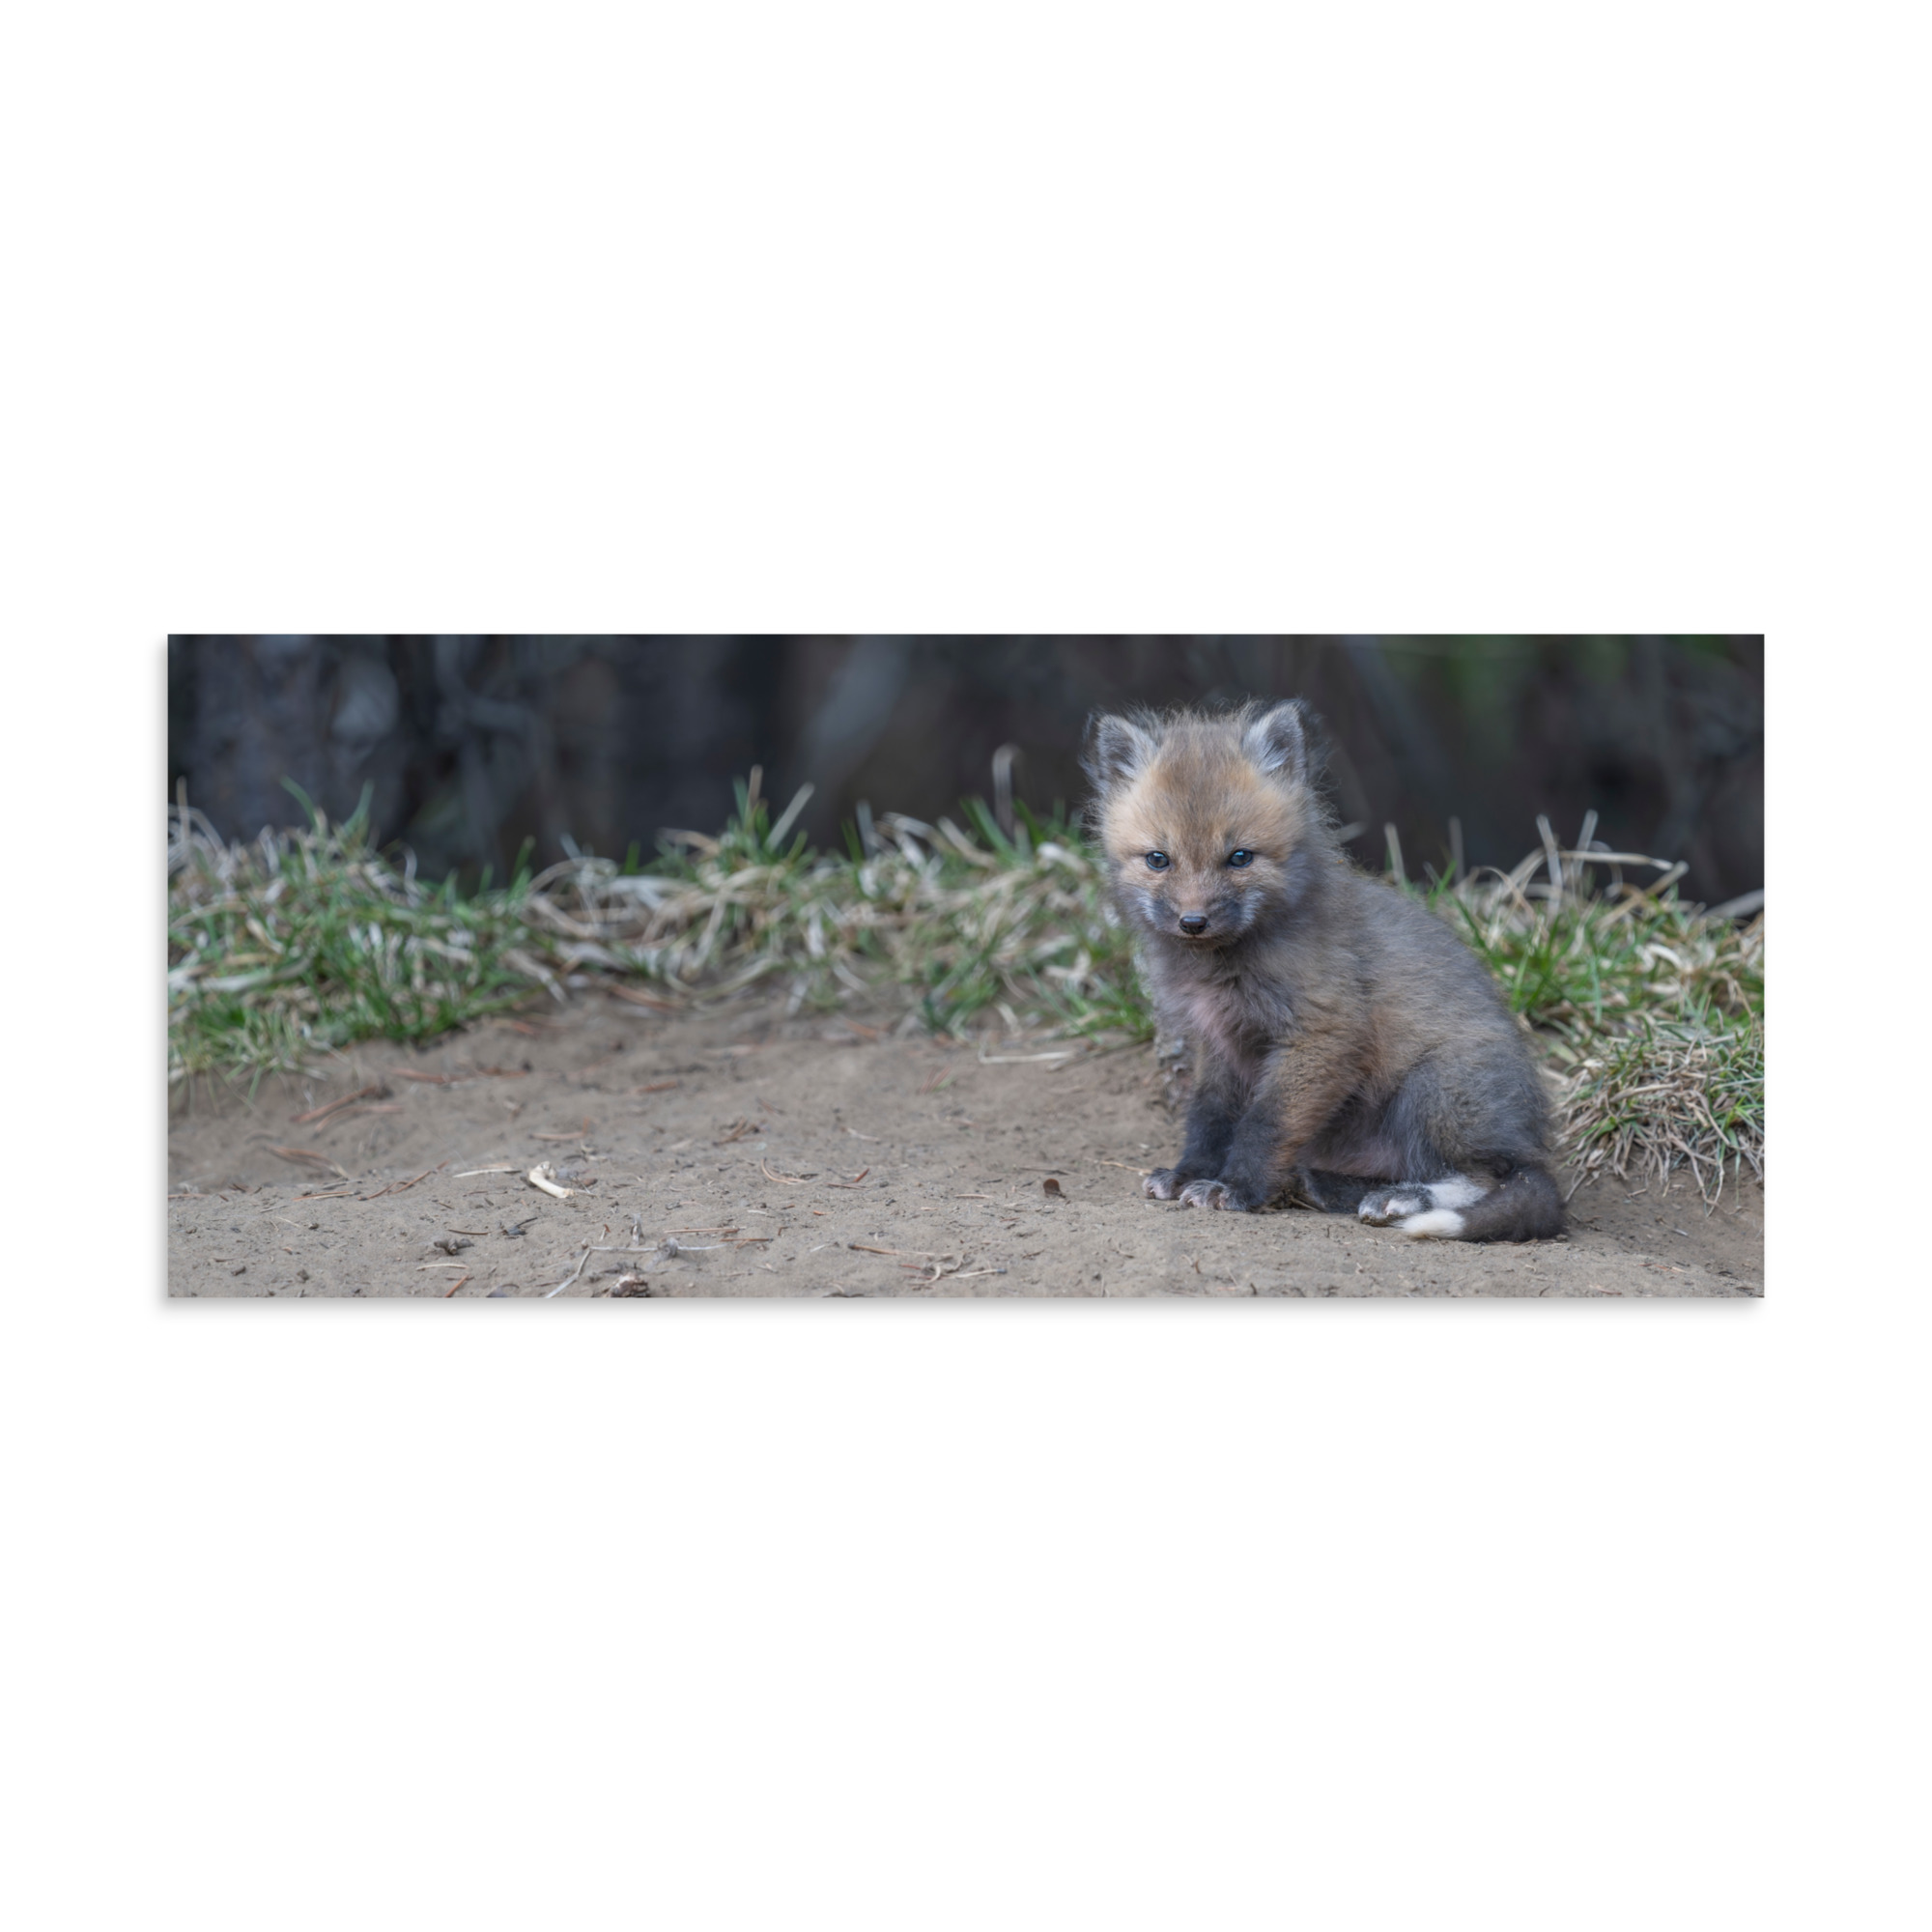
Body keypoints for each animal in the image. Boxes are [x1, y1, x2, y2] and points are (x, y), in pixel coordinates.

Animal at [1082, 698, 1563, 1242]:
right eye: (1158, 859)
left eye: (1239, 857)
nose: (1193, 922)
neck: (1222, 969)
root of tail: (1531, 1139)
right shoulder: (1219, 1043)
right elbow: (1208, 1118)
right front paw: (1190, 1174)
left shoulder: (1322, 1033)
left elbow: (1264, 1124)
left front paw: (1237, 1189)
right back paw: (1328, 1186)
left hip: (1434, 1090)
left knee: (1490, 1177)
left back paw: (1402, 1199)